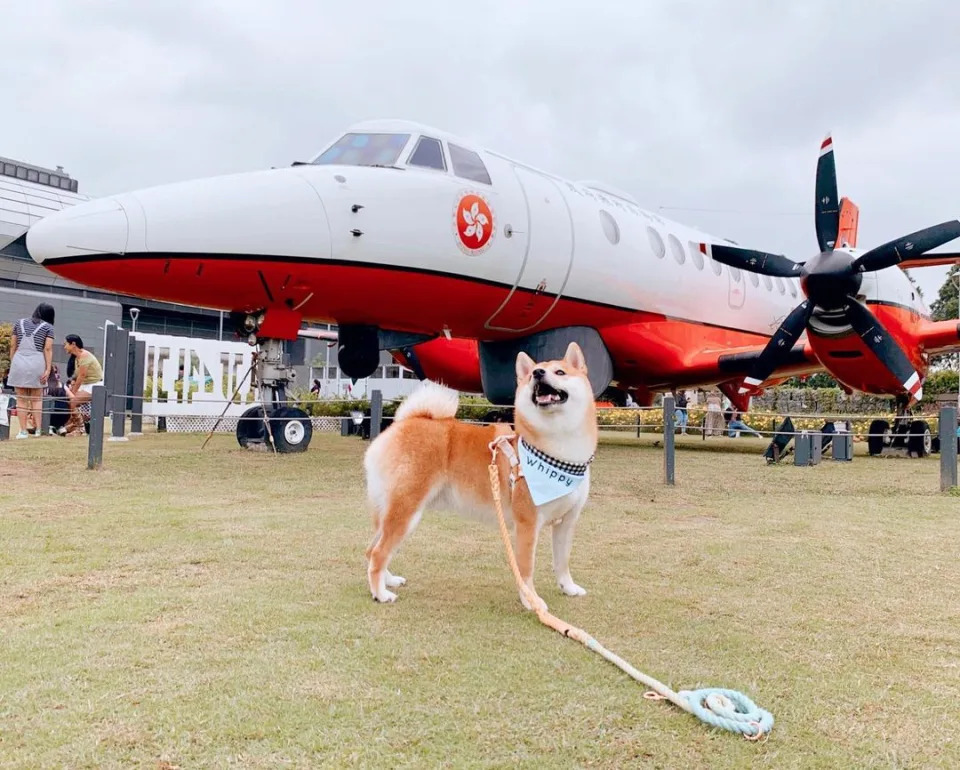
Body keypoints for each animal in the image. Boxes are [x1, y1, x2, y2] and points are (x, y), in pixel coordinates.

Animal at [362, 340, 596, 608]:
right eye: (532, 375)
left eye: (560, 372)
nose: (537, 373)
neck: (558, 454)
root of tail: (404, 422)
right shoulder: (527, 524)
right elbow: (526, 571)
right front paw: (532, 601)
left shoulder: (567, 522)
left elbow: (562, 562)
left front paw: (568, 587)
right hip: (406, 510)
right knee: (379, 552)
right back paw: (380, 593)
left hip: (394, 511)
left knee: (373, 549)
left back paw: (388, 580)